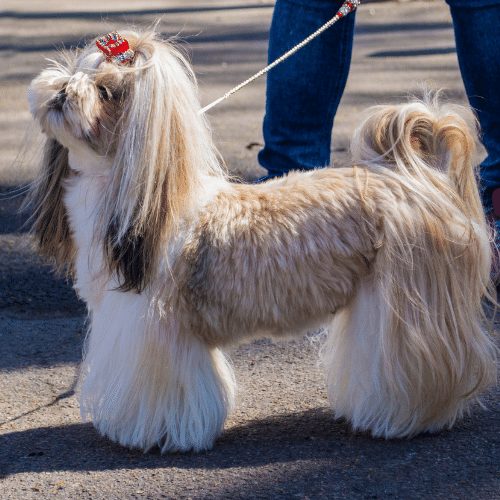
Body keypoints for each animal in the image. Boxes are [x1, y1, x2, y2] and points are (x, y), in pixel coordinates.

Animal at [26, 30, 496, 454]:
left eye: (106, 91)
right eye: (76, 70)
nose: (63, 90)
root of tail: (412, 179)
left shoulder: (154, 328)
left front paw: (151, 434)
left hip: (406, 301)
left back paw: (407, 417)